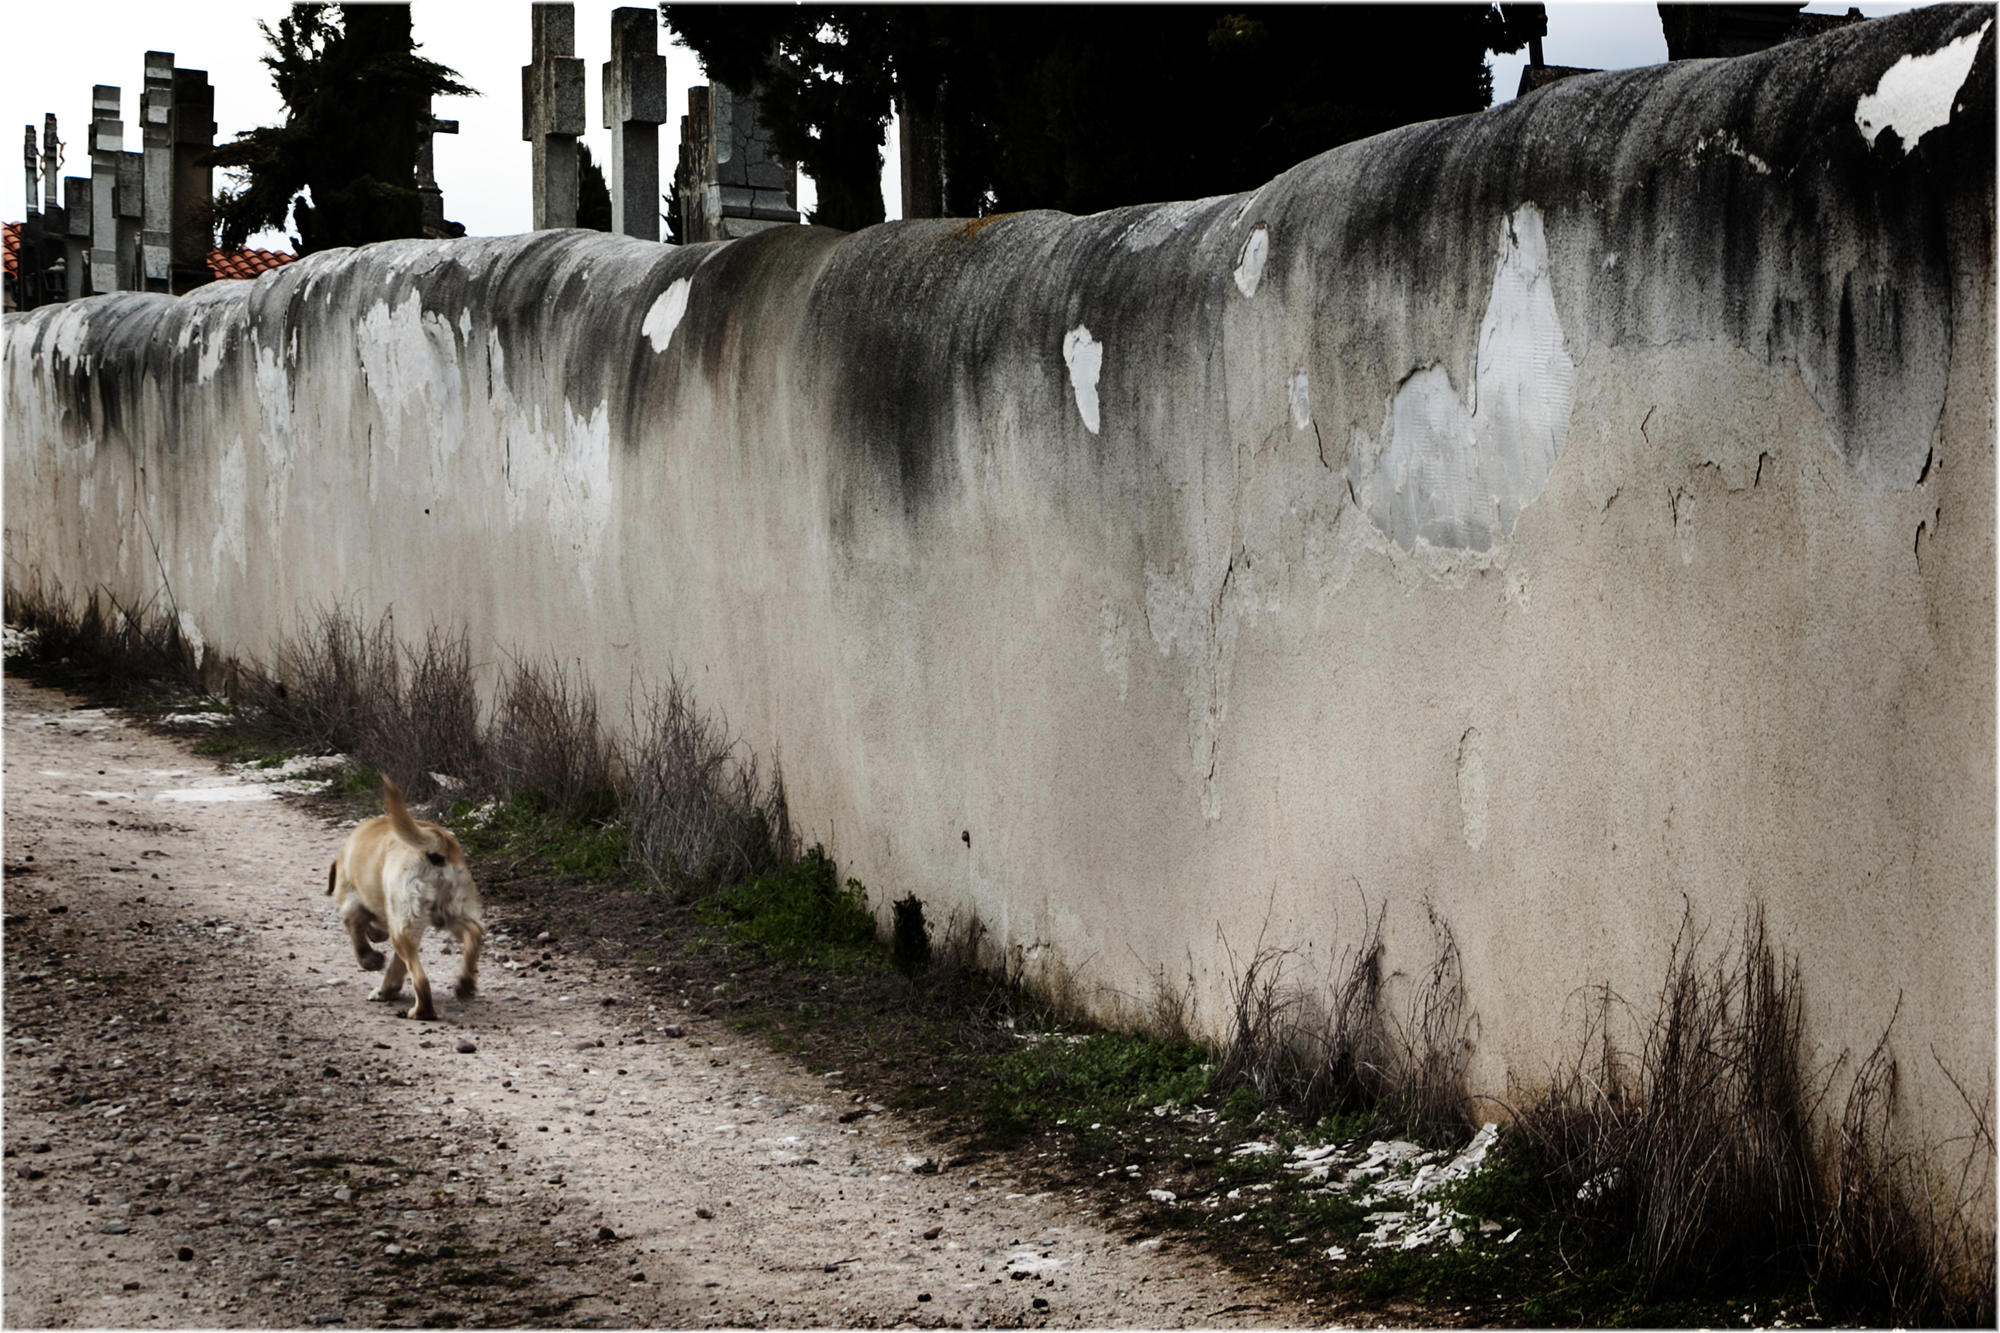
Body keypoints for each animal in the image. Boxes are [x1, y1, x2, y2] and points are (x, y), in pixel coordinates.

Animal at [330, 768, 486, 1016]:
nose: (377, 936)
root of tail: (437, 843)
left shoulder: (351, 907)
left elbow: (359, 942)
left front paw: (371, 961)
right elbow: (397, 965)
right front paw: (386, 989)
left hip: (403, 927)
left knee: (421, 980)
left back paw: (421, 1012)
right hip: (447, 913)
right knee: (474, 932)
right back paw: (465, 983)